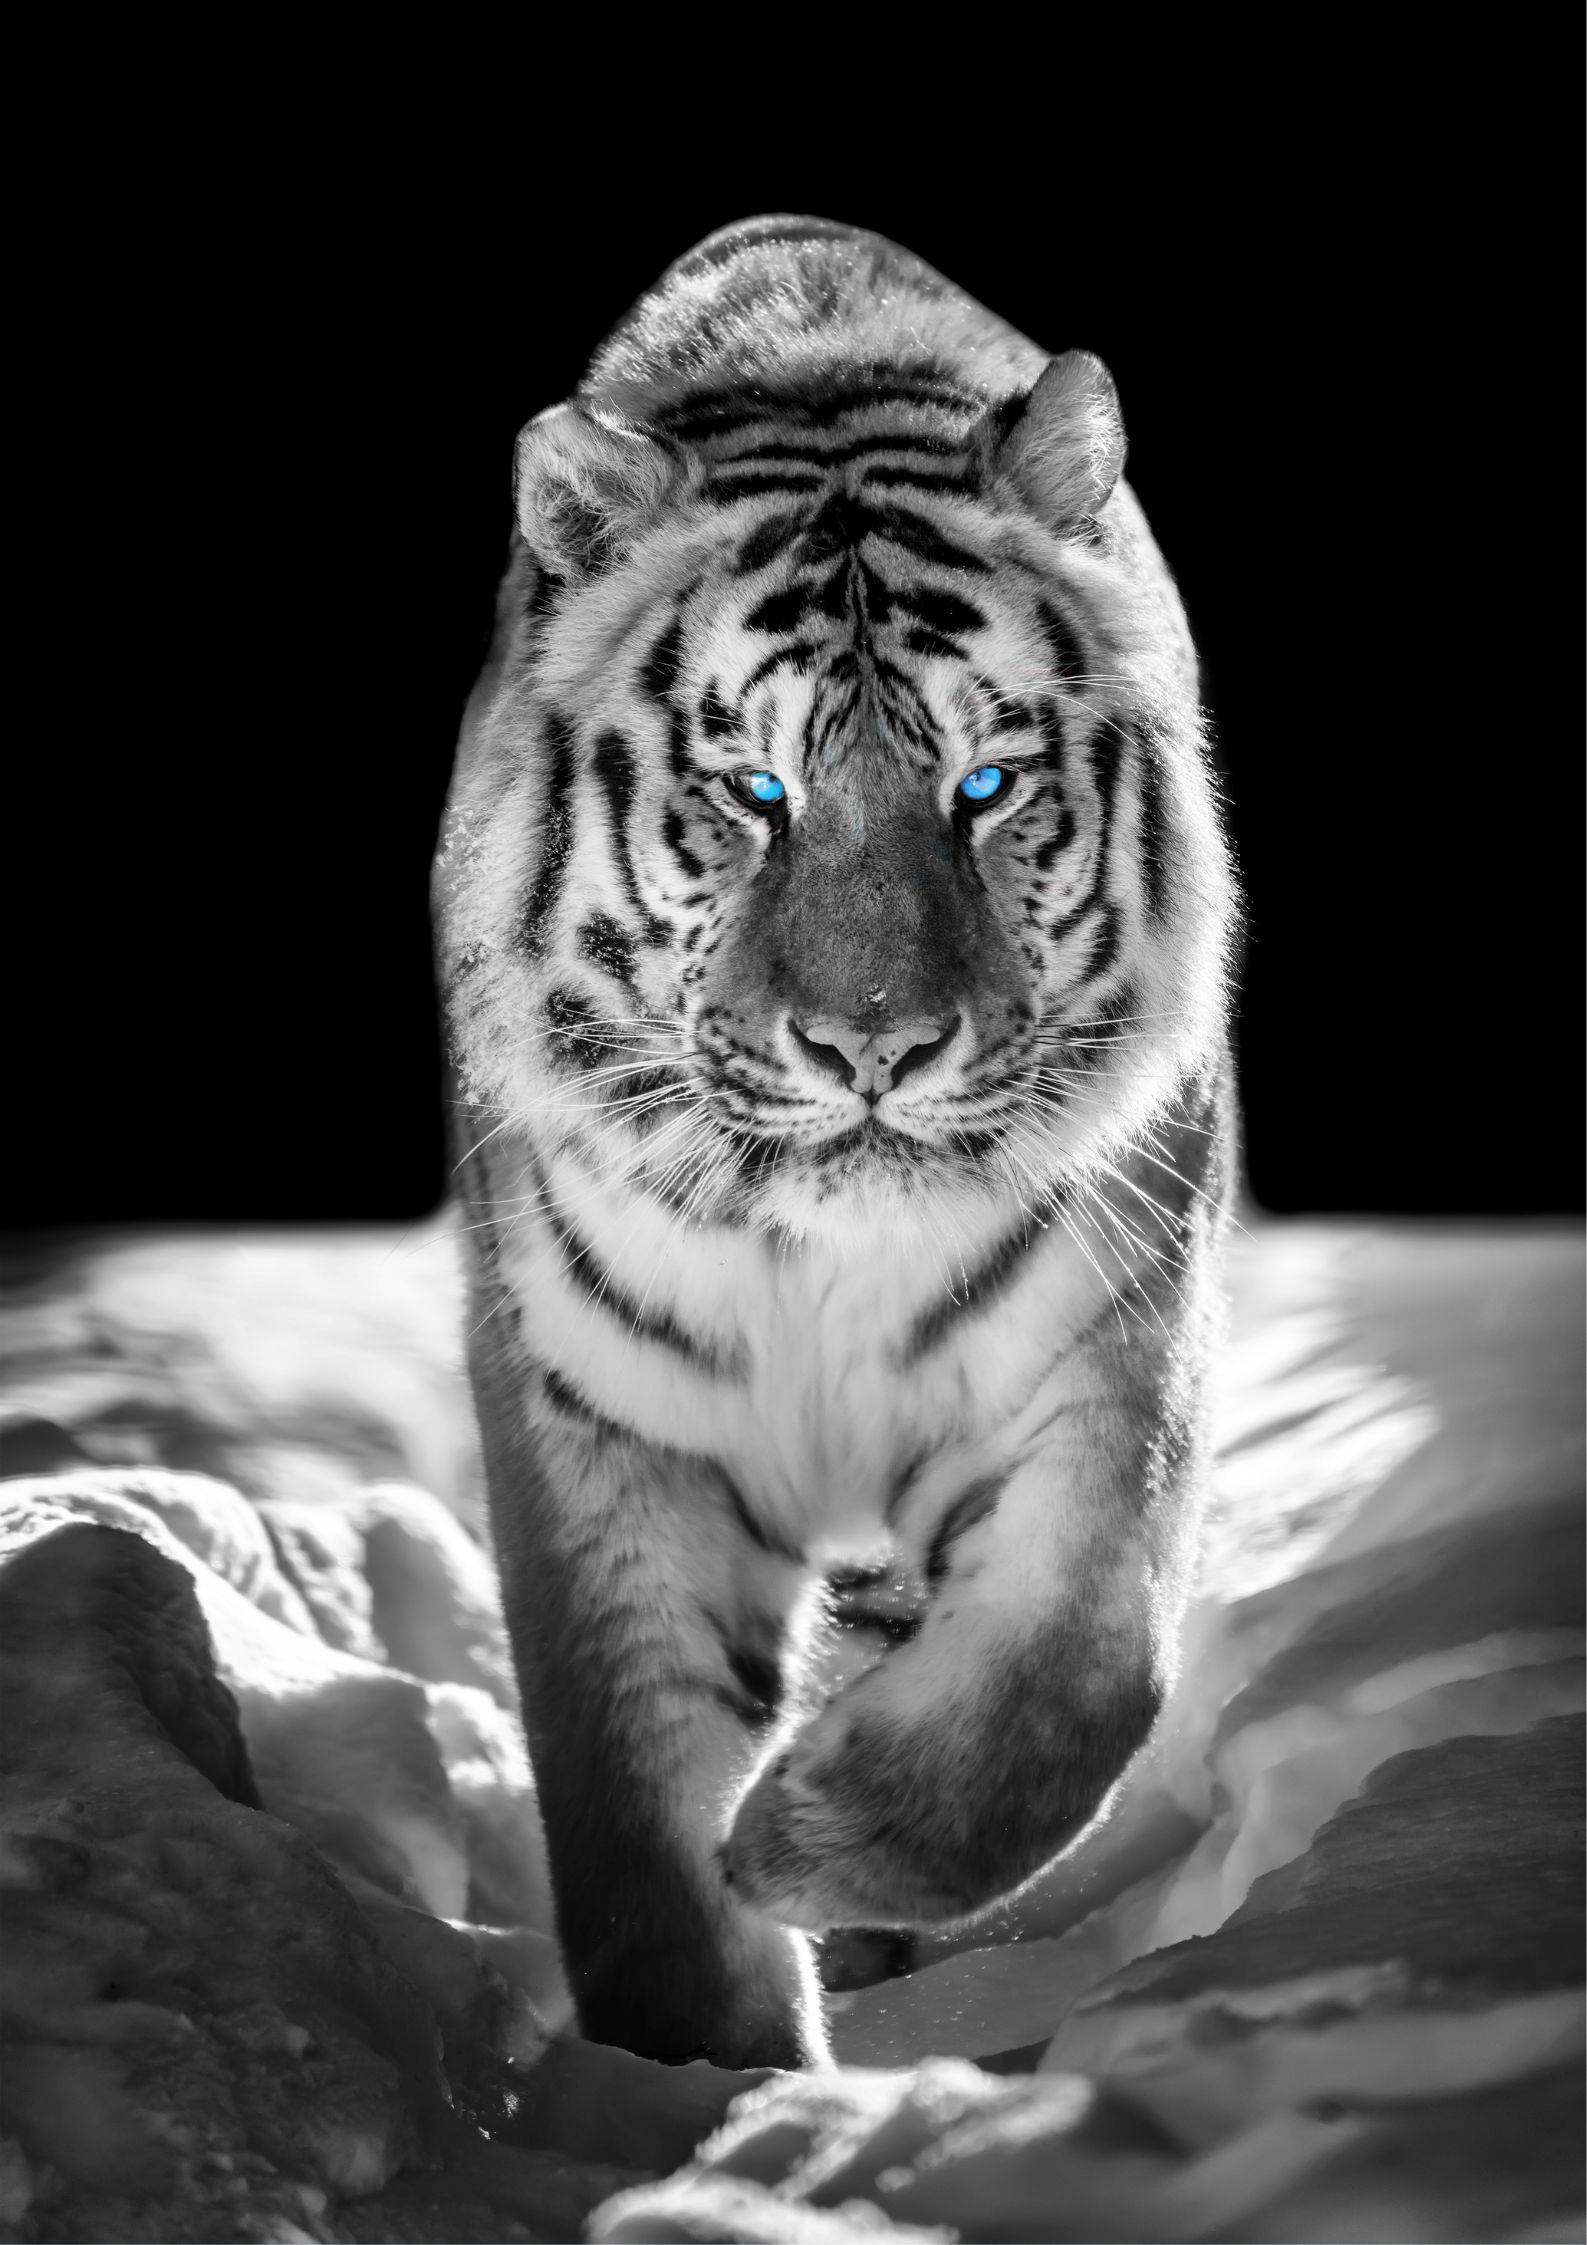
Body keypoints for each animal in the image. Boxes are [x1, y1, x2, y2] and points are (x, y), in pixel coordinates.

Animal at [432, 215, 1238, 2072]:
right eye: (754, 795)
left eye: (985, 787)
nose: (873, 1046)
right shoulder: (599, 1419)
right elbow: (627, 1811)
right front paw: (710, 2084)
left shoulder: (1103, 1343)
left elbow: (1071, 1676)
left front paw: (801, 1837)